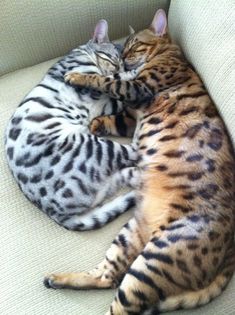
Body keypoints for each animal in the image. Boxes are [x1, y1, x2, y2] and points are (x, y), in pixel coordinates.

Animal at [4, 20, 140, 232]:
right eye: (112, 60)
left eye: (121, 61)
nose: (117, 68)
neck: (83, 53)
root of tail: (56, 214)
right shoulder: (94, 88)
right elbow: (114, 81)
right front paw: (132, 72)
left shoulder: (106, 104)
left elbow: (117, 87)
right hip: (97, 147)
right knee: (135, 151)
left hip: (107, 178)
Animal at [44, 8, 235, 314]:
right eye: (121, 50)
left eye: (133, 47)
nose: (121, 61)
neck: (169, 52)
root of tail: (230, 253)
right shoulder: (132, 113)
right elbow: (116, 118)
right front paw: (97, 123)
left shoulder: (139, 87)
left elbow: (107, 82)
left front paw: (77, 76)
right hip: (131, 234)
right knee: (106, 276)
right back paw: (59, 278)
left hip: (155, 260)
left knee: (120, 303)